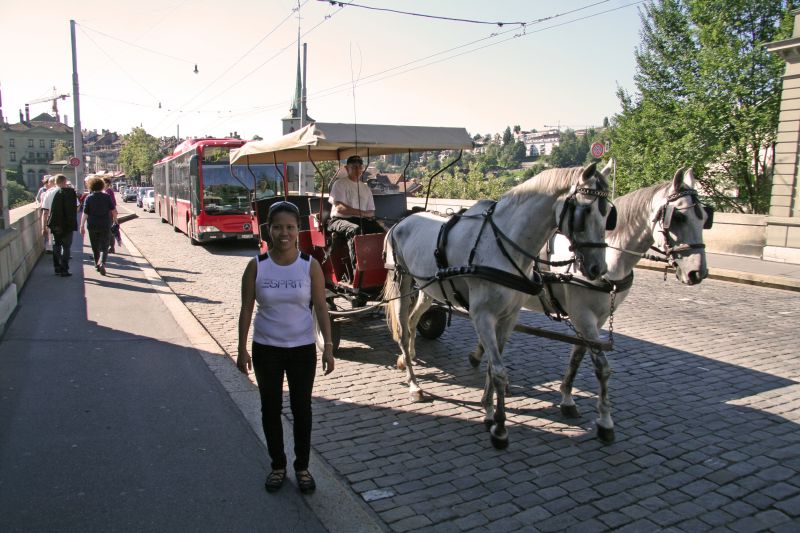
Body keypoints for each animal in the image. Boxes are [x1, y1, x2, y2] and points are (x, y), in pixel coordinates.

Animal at [384, 163, 616, 448]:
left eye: (608, 215)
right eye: (584, 212)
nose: (598, 269)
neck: (502, 247)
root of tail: (401, 221)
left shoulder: (509, 316)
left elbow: (493, 366)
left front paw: (488, 411)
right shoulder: (482, 316)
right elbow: (498, 370)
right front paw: (500, 428)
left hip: (427, 288)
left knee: (412, 321)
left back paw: (409, 362)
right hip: (402, 281)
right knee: (403, 331)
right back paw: (414, 384)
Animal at [468, 168, 712, 442]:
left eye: (705, 219)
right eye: (678, 217)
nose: (697, 273)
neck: (612, 261)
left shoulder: (598, 317)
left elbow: (578, 355)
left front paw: (567, 398)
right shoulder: (582, 314)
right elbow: (601, 367)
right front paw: (605, 421)